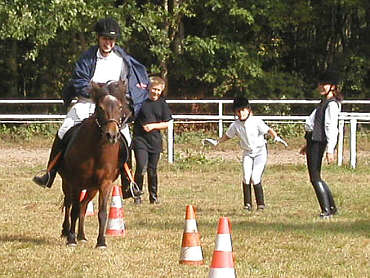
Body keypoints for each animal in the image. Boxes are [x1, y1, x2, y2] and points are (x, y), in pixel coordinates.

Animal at [58, 80, 132, 248]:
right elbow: (73, 209)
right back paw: (66, 231)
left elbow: (102, 212)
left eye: (120, 107)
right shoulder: (76, 182)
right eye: (100, 108)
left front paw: (101, 242)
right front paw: (71, 239)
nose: (111, 135)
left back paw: (81, 235)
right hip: (67, 183)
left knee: (83, 206)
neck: (95, 150)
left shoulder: (105, 183)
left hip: (92, 188)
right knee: (69, 204)